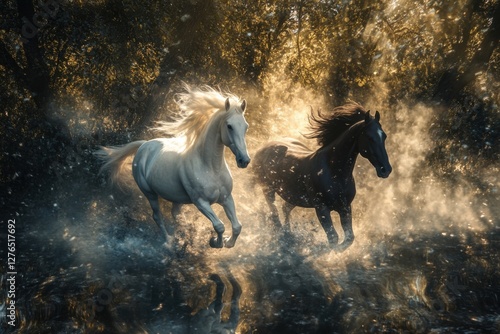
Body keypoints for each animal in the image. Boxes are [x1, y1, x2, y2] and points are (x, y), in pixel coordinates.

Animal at [95, 85, 250, 249]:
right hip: (149, 193)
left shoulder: (226, 198)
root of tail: (144, 145)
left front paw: (228, 242)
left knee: (175, 215)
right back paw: (168, 242)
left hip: (177, 198)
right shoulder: (200, 202)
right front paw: (215, 242)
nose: (244, 160)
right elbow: (219, 226)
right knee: (157, 216)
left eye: (246, 127)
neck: (211, 168)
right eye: (229, 126)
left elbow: (237, 226)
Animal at [256, 103, 392, 252]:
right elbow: (333, 237)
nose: (386, 170)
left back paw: (289, 235)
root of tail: (264, 147)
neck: (334, 173)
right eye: (369, 137)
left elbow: (349, 238)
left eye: (384, 136)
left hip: (292, 196)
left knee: (285, 209)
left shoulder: (345, 207)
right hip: (268, 190)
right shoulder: (321, 209)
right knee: (274, 214)